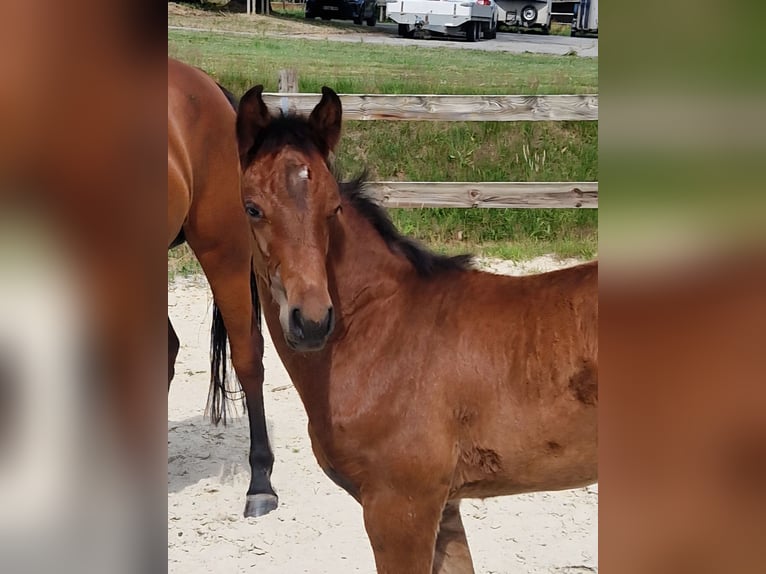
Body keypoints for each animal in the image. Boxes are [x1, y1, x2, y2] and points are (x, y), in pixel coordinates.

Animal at [231, 85, 598, 572]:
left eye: (333, 209)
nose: (311, 322)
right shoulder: (444, 507)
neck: (380, 328)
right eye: (252, 208)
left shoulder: (400, 507)